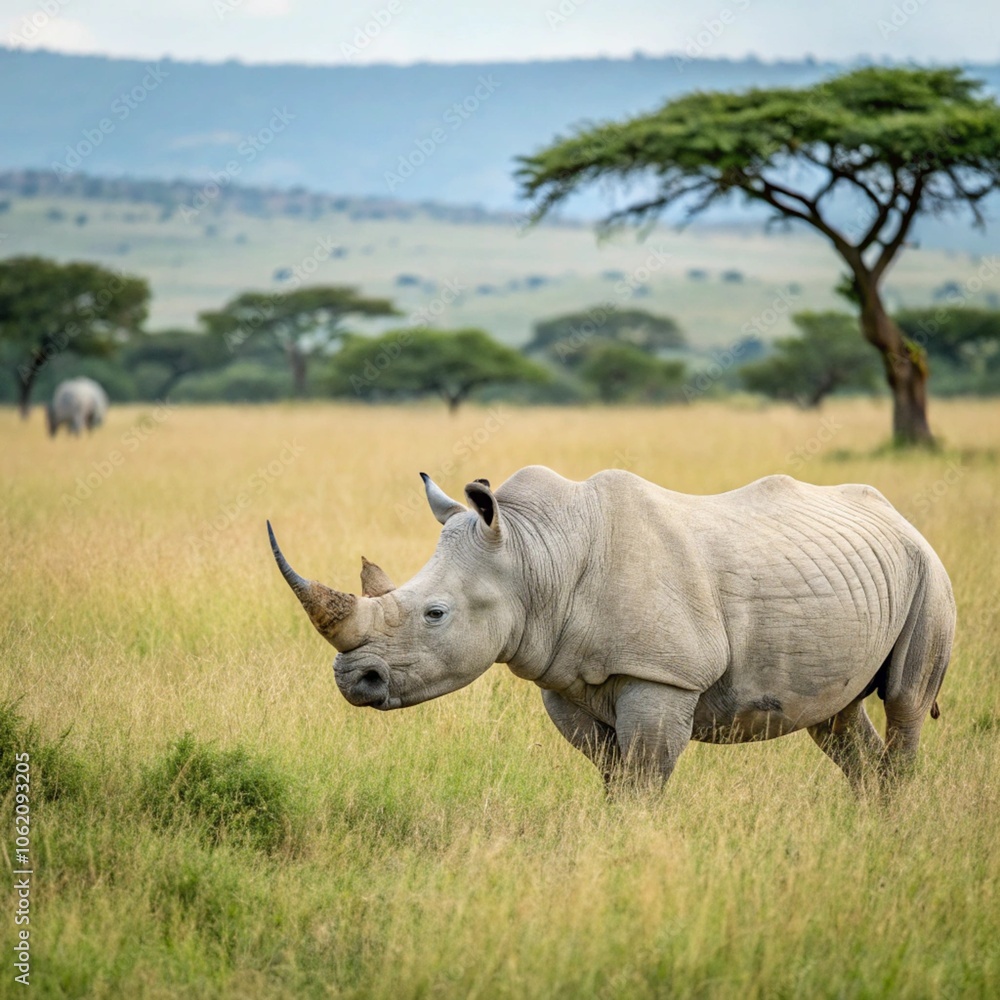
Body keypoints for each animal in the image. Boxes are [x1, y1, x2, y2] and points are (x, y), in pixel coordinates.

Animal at [268, 466, 955, 793]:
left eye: (435, 614)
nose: (353, 679)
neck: (534, 553)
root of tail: (899, 518)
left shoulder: (664, 676)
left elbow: (643, 777)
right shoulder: (563, 679)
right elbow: (612, 773)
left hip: (929, 570)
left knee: (905, 702)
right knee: (836, 717)